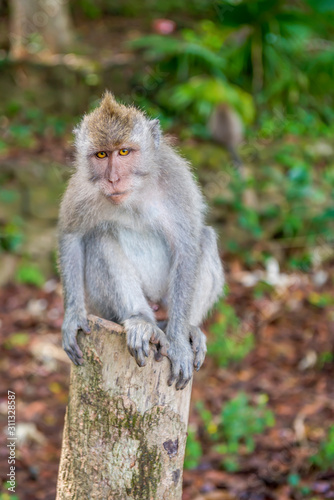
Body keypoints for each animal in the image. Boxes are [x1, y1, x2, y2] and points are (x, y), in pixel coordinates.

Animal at [58, 93, 224, 390]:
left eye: (124, 152)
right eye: (102, 154)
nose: (113, 179)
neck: (134, 194)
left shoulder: (176, 181)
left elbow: (187, 249)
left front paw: (179, 344)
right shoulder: (82, 187)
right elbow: (71, 236)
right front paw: (73, 317)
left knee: (205, 238)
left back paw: (186, 328)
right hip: (110, 308)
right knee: (99, 237)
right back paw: (141, 321)